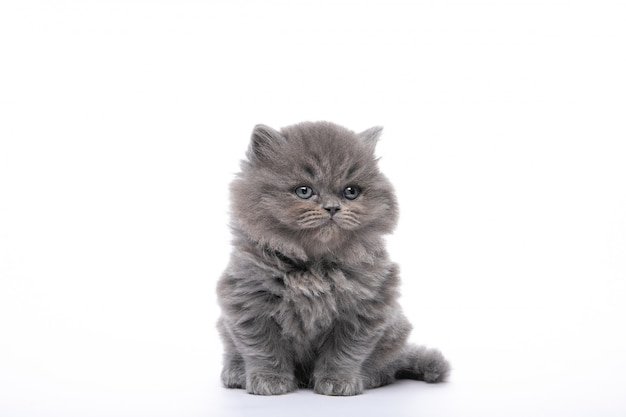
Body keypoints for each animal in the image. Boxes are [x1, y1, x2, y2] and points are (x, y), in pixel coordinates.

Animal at [216, 122, 448, 394]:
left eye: (351, 192)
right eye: (304, 191)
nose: (333, 207)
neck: (313, 265)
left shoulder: (364, 310)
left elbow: (344, 352)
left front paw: (338, 383)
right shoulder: (248, 302)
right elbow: (264, 349)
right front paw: (269, 381)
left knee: (389, 364)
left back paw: (373, 378)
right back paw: (235, 375)